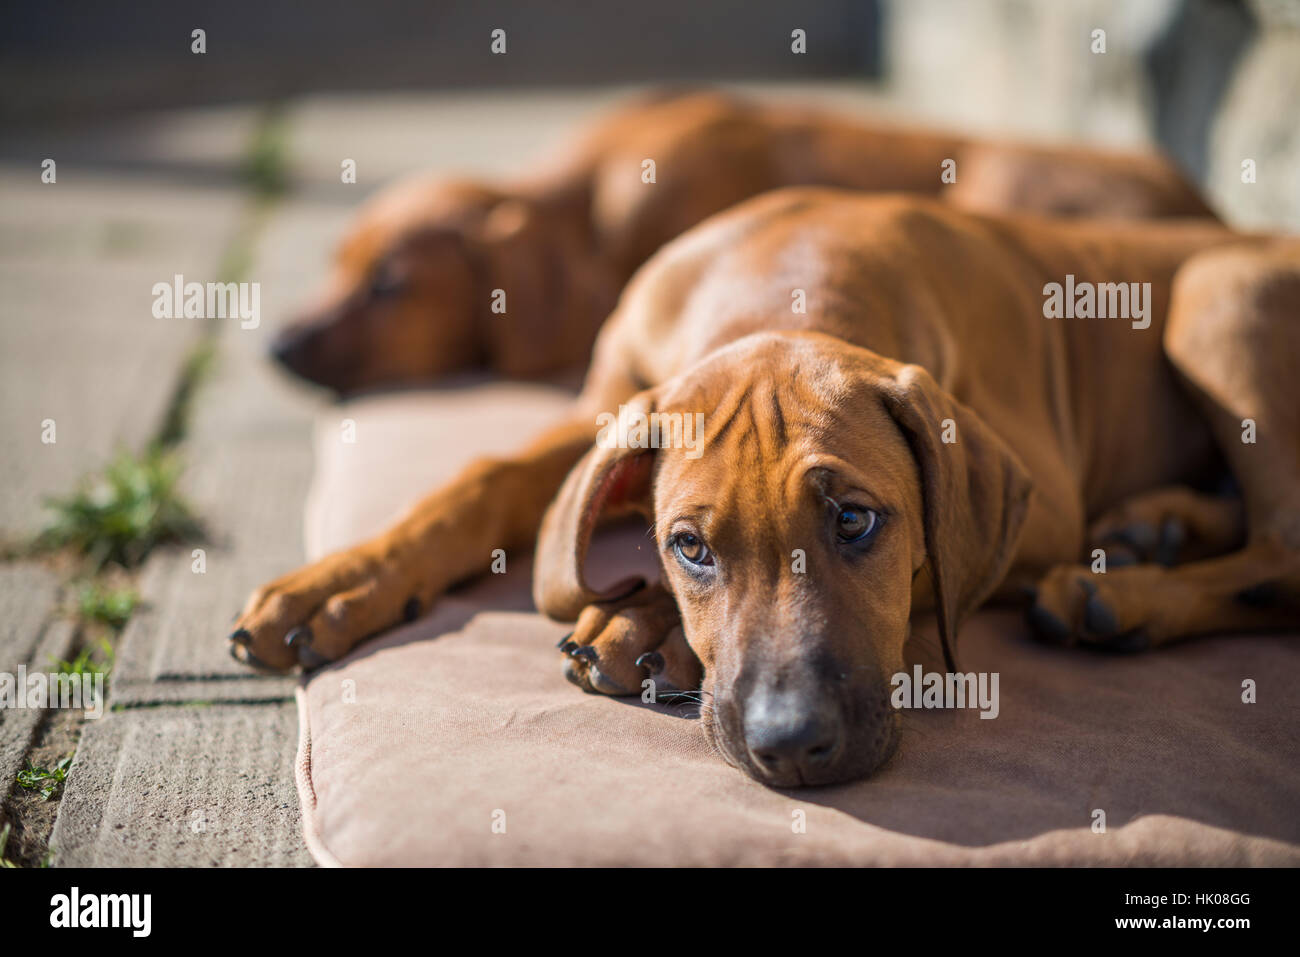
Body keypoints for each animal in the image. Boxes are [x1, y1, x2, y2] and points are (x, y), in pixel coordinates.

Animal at [228, 192, 1294, 785]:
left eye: (858, 521)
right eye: (689, 545)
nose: (790, 745)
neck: (792, 278)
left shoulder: (1043, 498)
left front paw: (644, 624)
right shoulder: (613, 400)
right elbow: (482, 478)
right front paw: (340, 581)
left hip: (1218, 288)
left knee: (1285, 553)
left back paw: (1123, 591)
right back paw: (1155, 526)